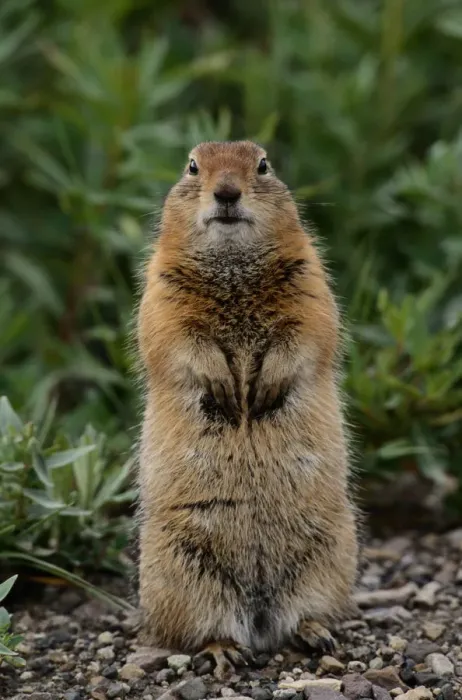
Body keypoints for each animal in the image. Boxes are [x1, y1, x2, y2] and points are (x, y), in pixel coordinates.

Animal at [136, 140, 358, 679]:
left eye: (263, 164)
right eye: (192, 165)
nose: (227, 192)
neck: (234, 266)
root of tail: (257, 611)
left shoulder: (310, 281)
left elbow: (309, 331)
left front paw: (263, 390)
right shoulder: (162, 289)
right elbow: (176, 338)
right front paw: (226, 389)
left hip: (331, 554)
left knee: (301, 613)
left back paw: (315, 632)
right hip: (181, 571)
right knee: (204, 628)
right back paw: (224, 651)